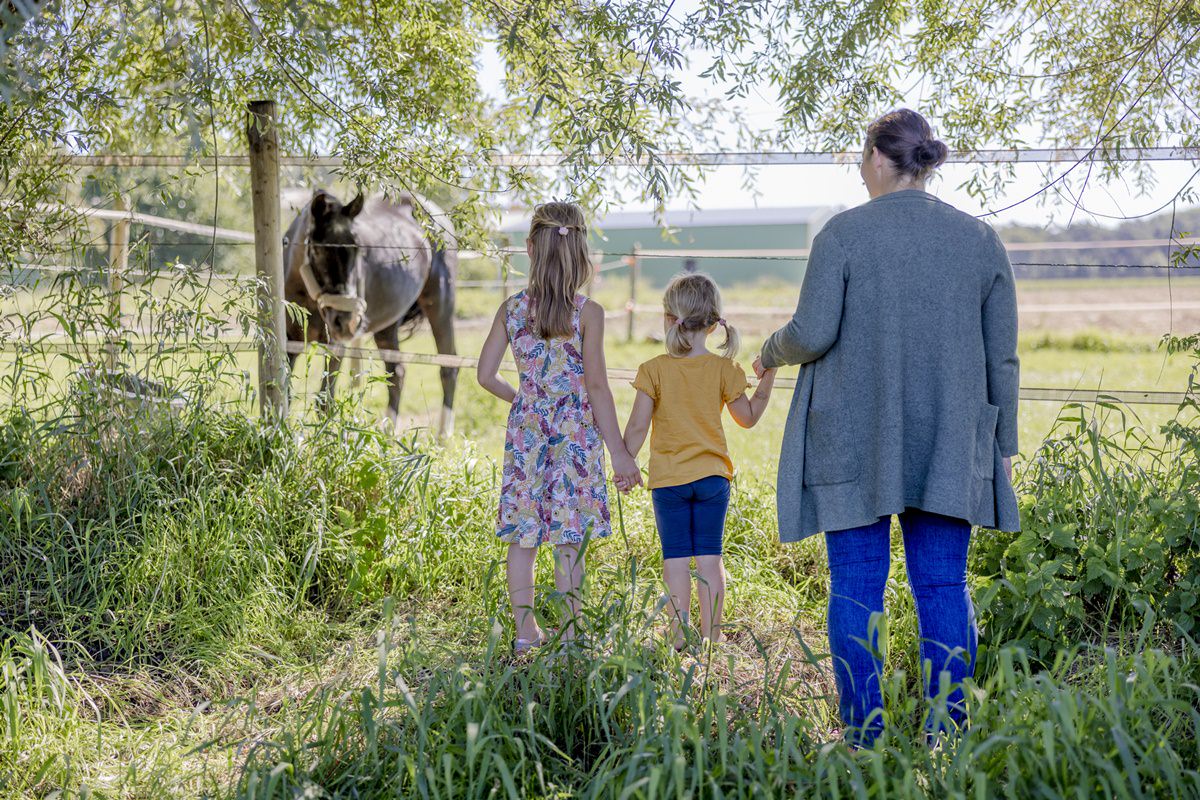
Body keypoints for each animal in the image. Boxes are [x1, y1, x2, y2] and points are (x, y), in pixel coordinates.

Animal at [280, 190, 458, 434]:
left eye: (358, 249)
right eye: (317, 249)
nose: (348, 322)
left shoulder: (336, 344)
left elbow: (325, 402)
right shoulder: (290, 341)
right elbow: (285, 396)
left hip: (440, 306)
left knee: (448, 369)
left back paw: (442, 436)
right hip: (387, 327)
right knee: (397, 373)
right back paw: (388, 435)